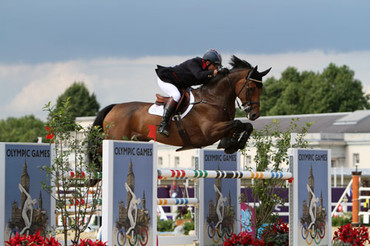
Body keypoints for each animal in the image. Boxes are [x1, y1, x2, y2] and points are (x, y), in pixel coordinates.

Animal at [91, 54, 270, 157]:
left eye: (262, 89)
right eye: (251, 88)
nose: (255, 114)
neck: (213, 99)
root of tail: (115, 107)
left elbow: (245, 126)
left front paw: (232, 144)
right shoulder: (210, 131)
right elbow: (238, 123)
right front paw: (233, 143)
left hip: (136, 140)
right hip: (115, 137)